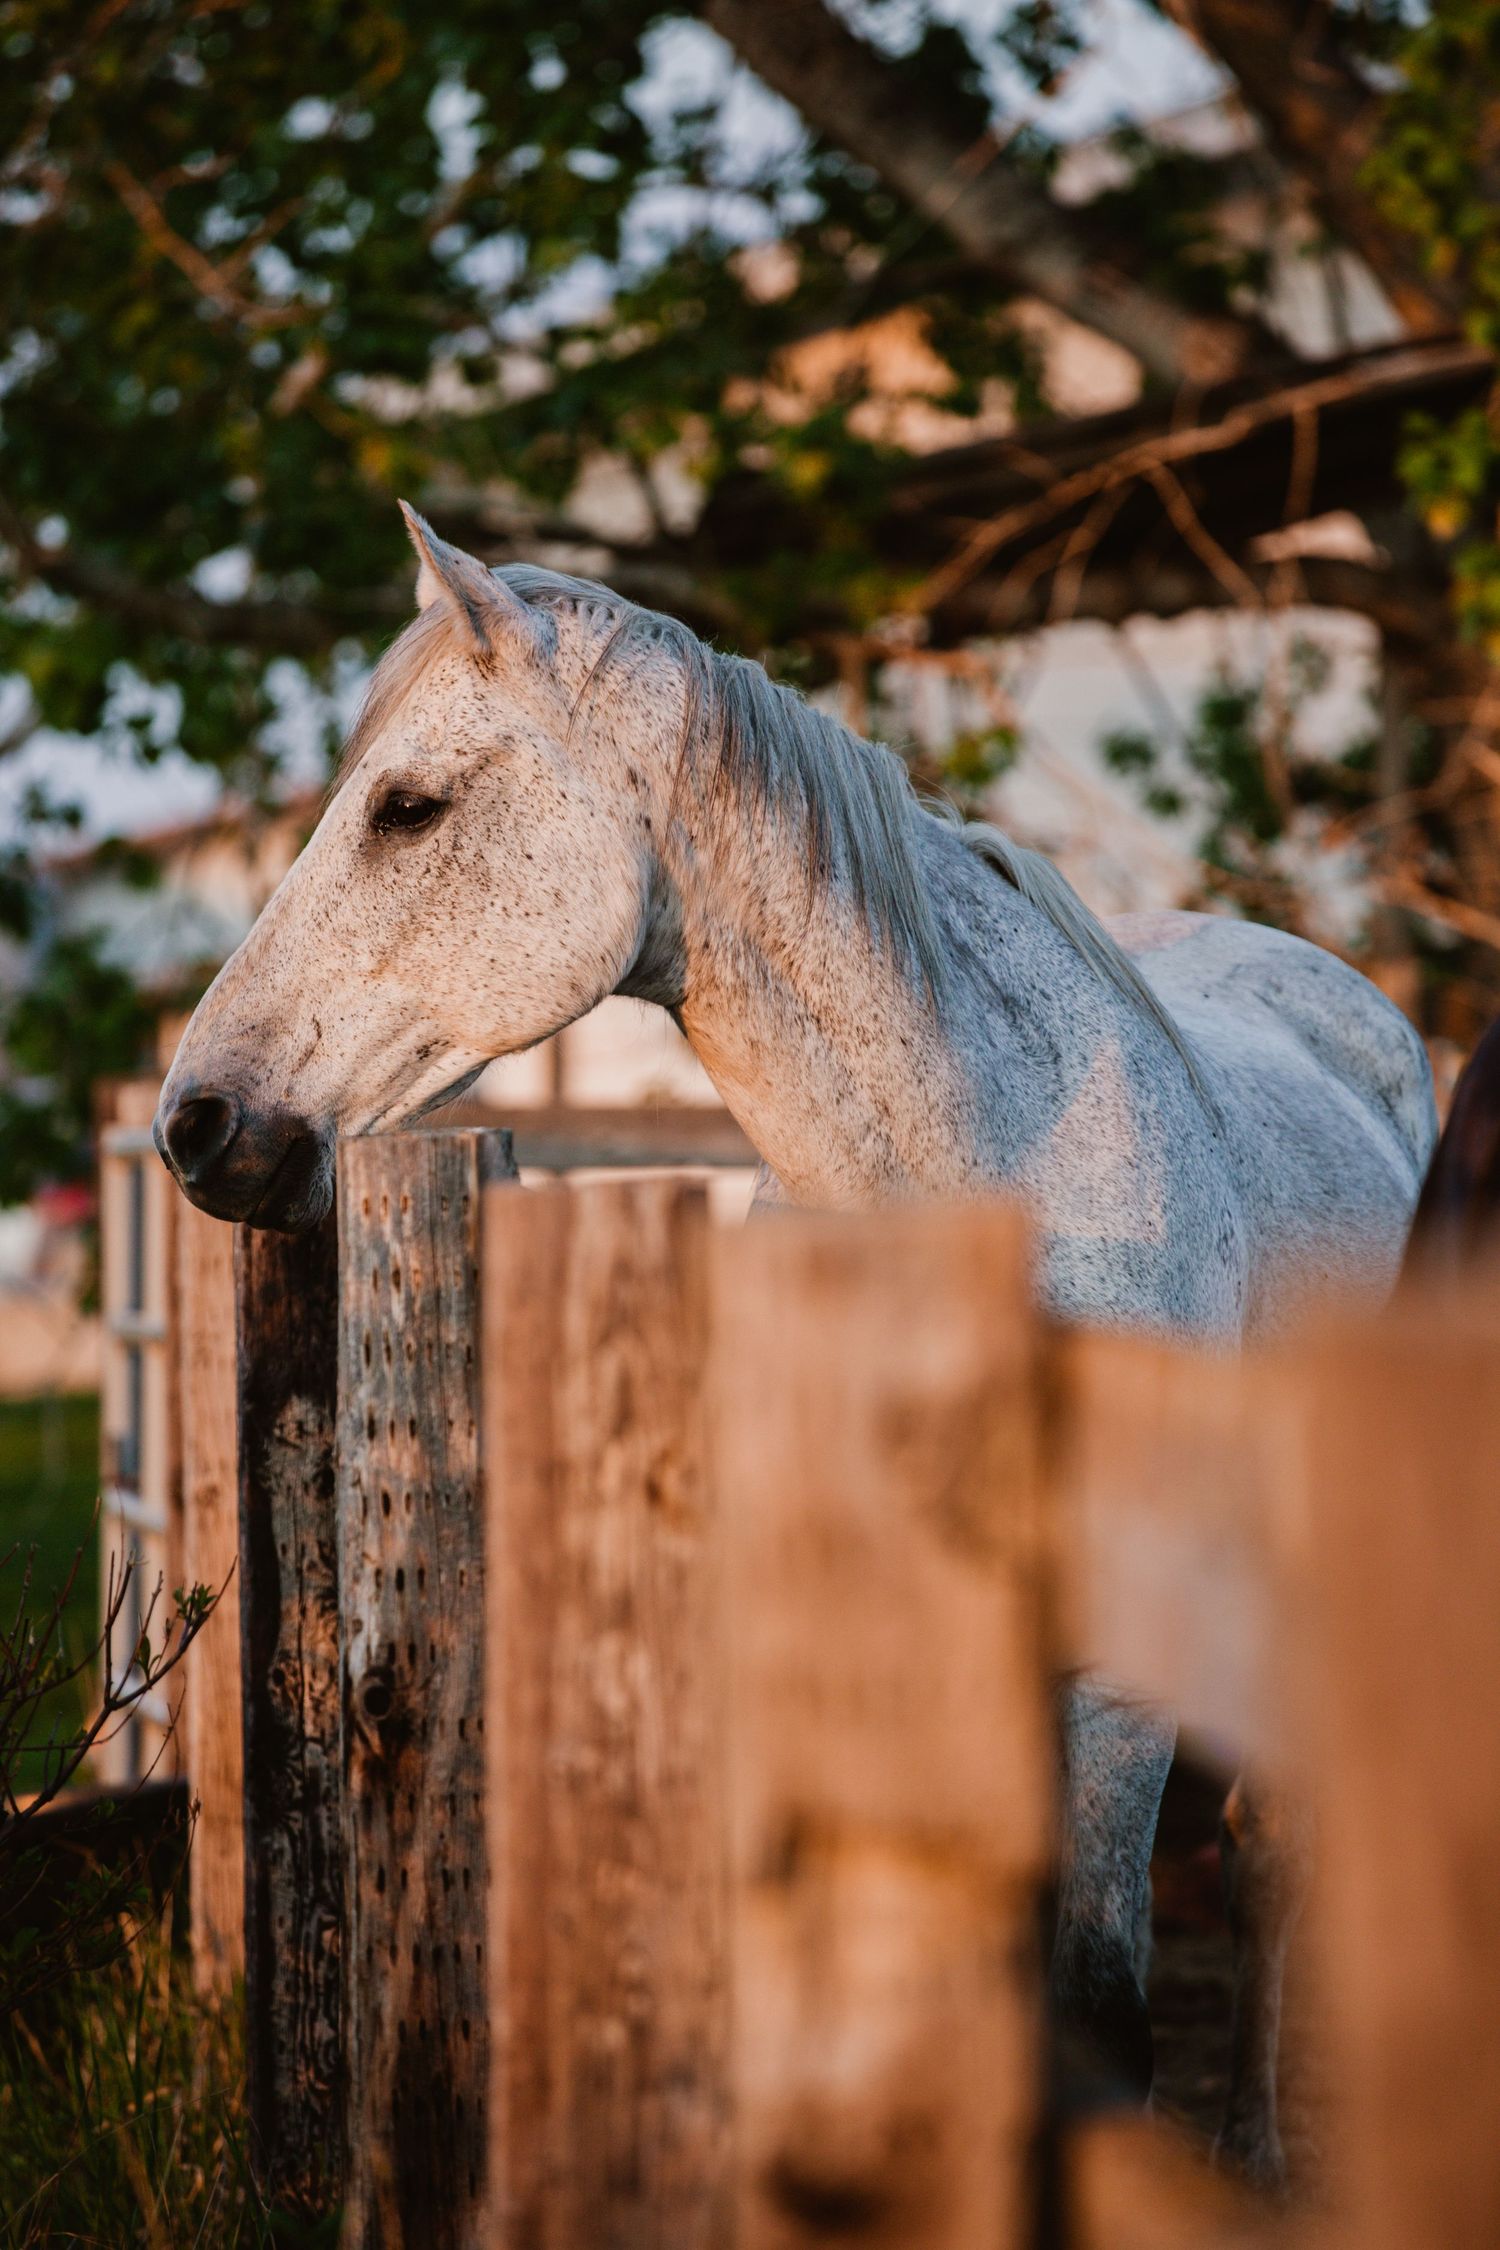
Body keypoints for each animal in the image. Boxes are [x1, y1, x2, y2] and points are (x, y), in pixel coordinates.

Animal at [155, 504, 1436, 2189]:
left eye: (406, 807)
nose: (197, 1121)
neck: (988, 1178)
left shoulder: (1118, 1678)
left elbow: (1101, 2012)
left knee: (1279, 1859)